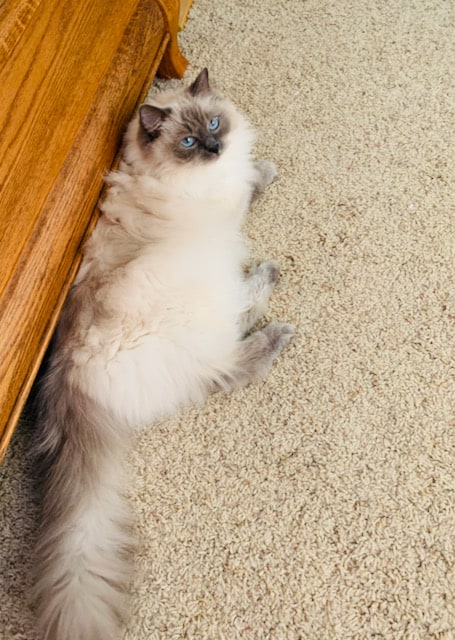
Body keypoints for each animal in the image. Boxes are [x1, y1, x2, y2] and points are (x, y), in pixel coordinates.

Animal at [33, 67, 296, 636]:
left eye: (214, 124)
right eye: (189, 143)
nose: (216, 147)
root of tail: (68, 373)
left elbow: (247, 173)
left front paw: (256, 162)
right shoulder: (229, 203)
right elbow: (251, 182)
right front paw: (266, 168)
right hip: (205, 290)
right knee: (231, 365)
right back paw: (275, 310)